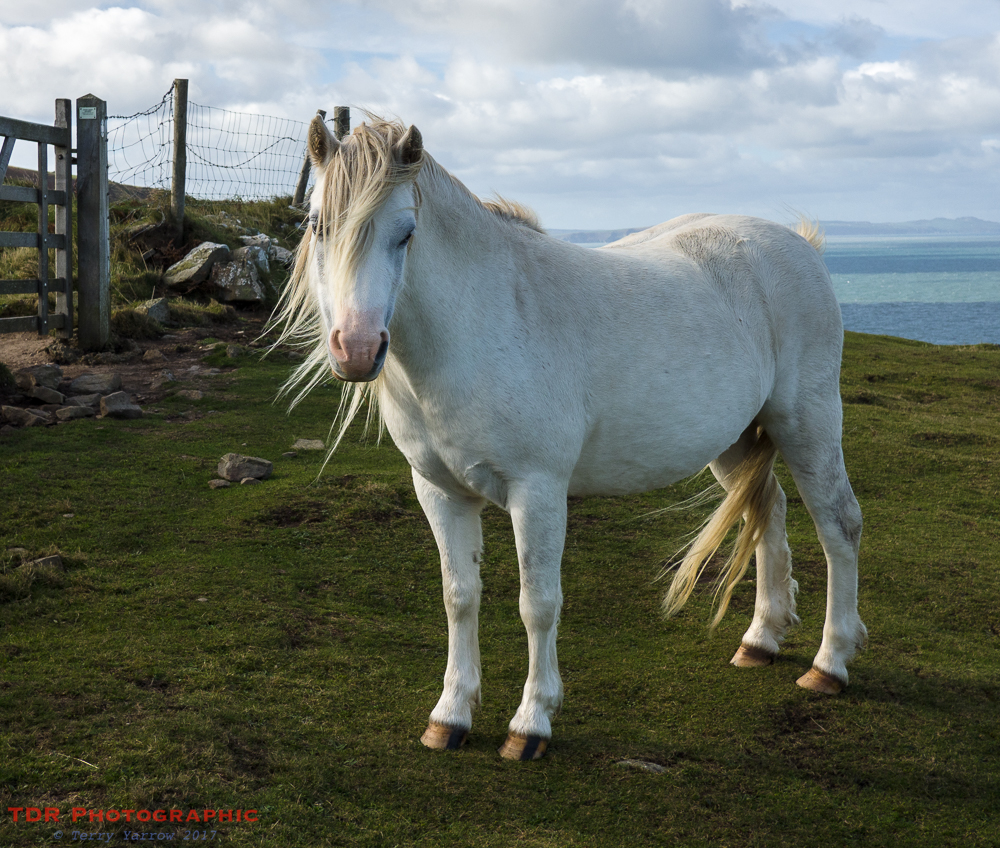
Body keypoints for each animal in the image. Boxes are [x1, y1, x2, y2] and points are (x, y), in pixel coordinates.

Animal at [271, 115, 868, 761]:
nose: (357, 349)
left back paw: (830, 663)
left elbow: (538, 603)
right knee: (769, 511)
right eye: (316, 226)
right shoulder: (439, 491)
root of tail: (798, 245)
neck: (480, 326)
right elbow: (459, 596)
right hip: (732, 439)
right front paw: (450, 714)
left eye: (406, 234)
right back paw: (761, 638)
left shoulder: (537, 492)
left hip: (807, 422)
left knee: (838, 525)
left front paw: (531, 722)